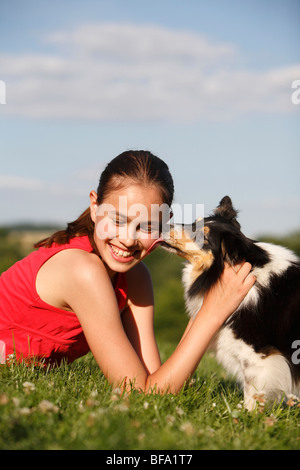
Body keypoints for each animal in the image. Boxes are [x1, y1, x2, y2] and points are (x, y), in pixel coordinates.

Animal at [162, 196, 300, 410]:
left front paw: (247, 416)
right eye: (194, 222)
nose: (161, 224)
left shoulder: (258, 356)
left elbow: (252, 394)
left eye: (202, 236)